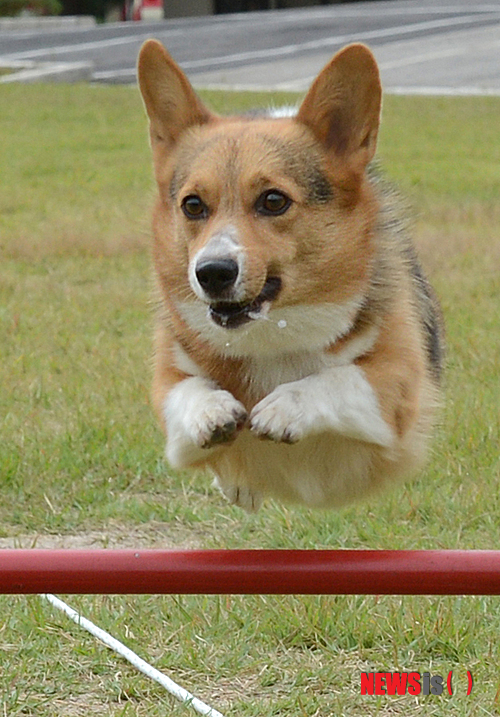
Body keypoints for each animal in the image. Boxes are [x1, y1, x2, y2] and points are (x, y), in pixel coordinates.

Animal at [136, 39, 442, 512]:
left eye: (274, 200)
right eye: (192, 205)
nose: (212, 273)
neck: (273, 336)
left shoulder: (396, 391)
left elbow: (338, 378)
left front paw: (284, 407)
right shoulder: (170, 402)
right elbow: (187, 394)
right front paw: (213, 411)